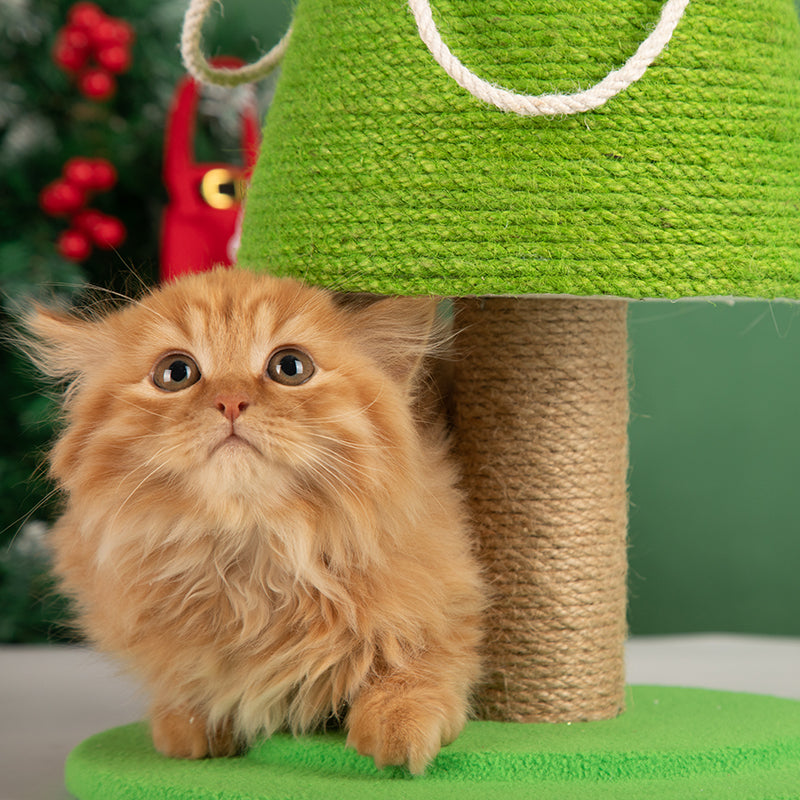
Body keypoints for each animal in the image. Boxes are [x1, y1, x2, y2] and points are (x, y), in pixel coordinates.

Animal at [25, 268, 484, 776]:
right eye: (176, 373)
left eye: (290, 367)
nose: (231, 401)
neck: (253, 556)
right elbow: (185, 684)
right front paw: (188, 723)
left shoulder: (452, 592)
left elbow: (423, 656)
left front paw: (399, 720)